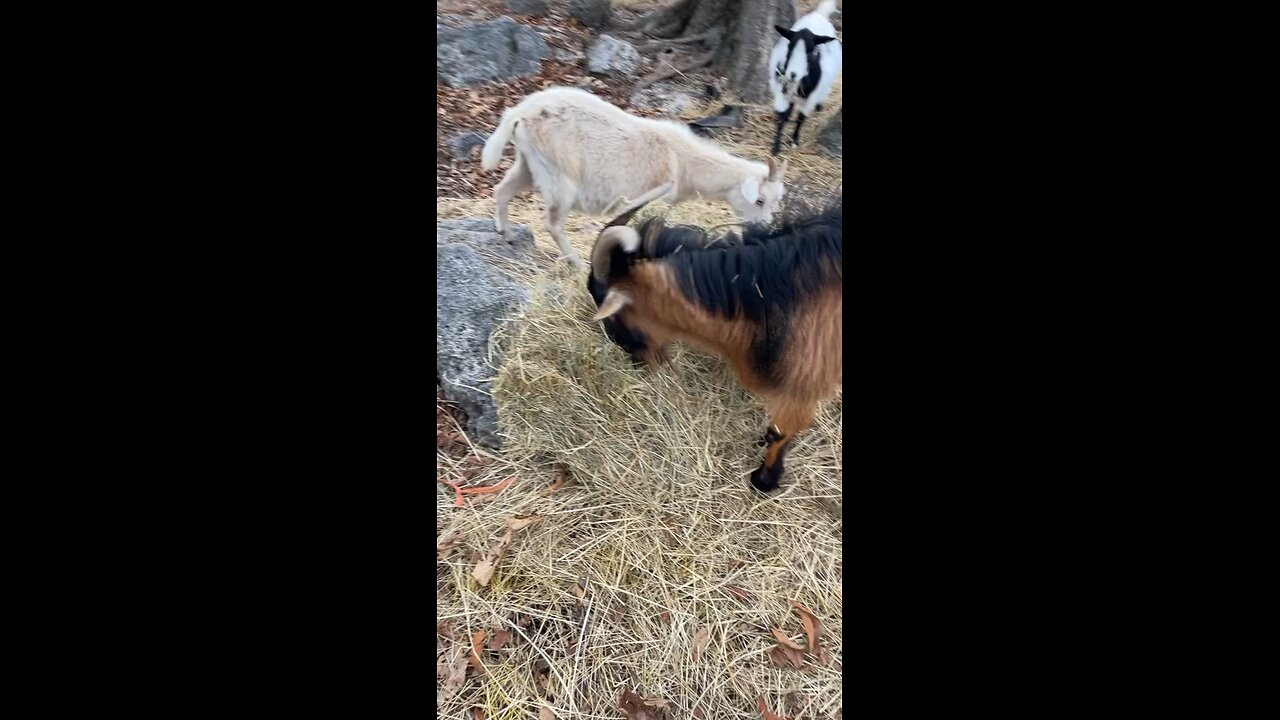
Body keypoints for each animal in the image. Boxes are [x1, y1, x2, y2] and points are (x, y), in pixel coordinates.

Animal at [481, 86, 788, 268]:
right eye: (759, 200)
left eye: (775, 202)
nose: (765, 229)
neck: (683, 161)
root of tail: (519, 112)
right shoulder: (642, 197)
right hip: (560, 176)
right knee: (553, 222)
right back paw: (577, 264)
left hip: (530, 165)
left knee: (502, 189)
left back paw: (507, 234)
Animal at [768, 0, 842, 156]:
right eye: (790, 47)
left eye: (811, 52)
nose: (793, 74)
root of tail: (819, 14)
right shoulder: (781, 94)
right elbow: (781, 118)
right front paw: (775, 148)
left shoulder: (809, 100)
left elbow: (801, 119)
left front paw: (794, 142)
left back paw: (819, 106)